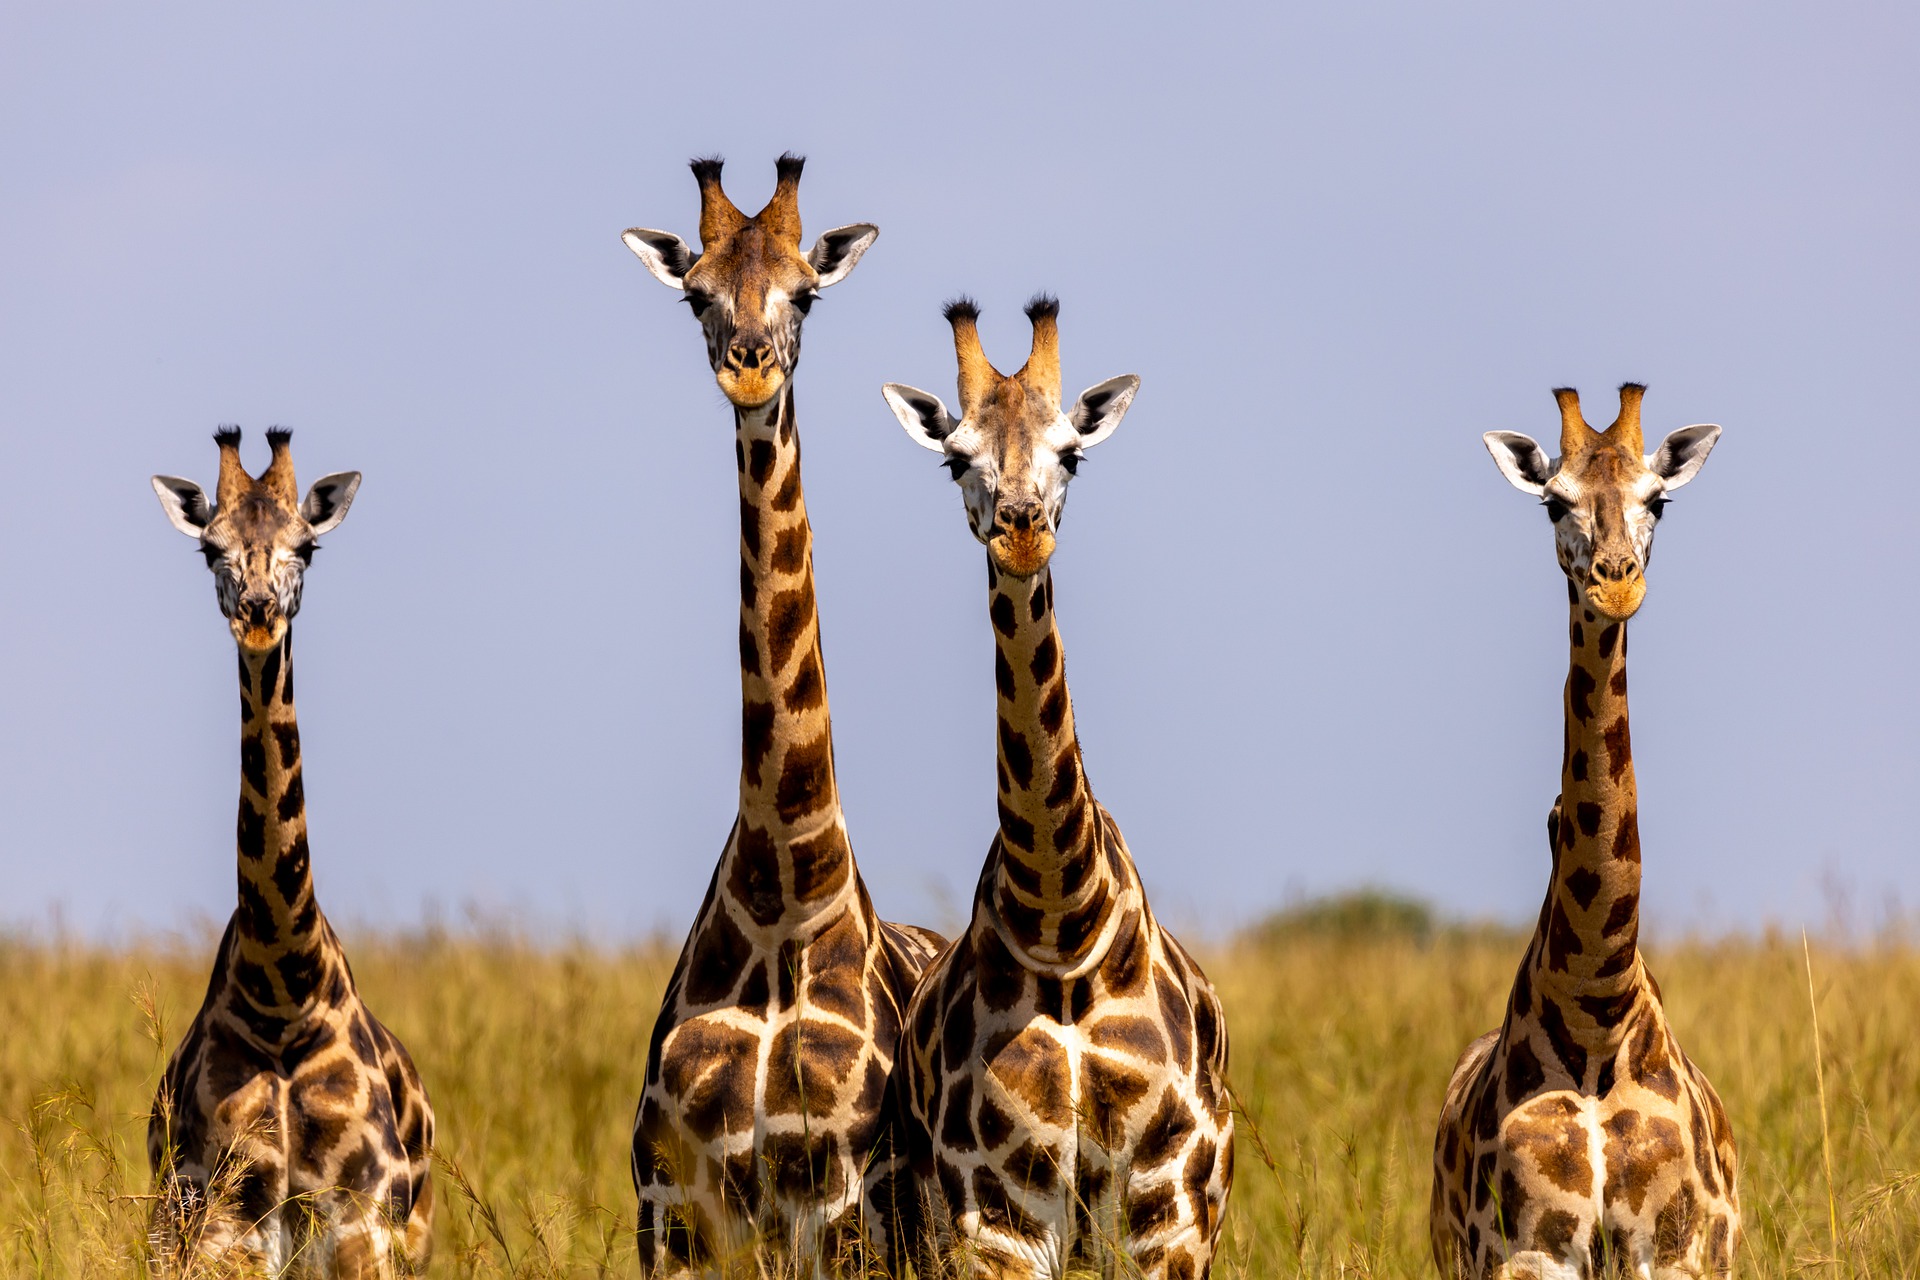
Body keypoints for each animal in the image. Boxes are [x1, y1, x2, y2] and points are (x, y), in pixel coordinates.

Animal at [147, 428, 434, 1278]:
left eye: (306, 546)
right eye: (209, 548)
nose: (258, 614)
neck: (281, 991)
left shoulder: (362, 1220)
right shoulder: (222, 1219)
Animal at [619, 154, 949, 1276]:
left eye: (805, 292)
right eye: (697, 294)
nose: (751, 370)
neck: (778, 894)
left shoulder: (845, 1208)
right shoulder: (673, 1206)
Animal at [879, 297, 1233, 1279]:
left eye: (1072, 451)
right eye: (955, 457)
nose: (1021, 526)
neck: (1062, 923)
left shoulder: (1167, 1215)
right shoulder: (995, 1216)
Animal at [1430, 385, 1736, 1279]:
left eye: (1657, 500)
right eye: (1554, 502)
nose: (1615, 586)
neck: (1598, 1013)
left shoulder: (1673, 1253)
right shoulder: (1526, 1252)